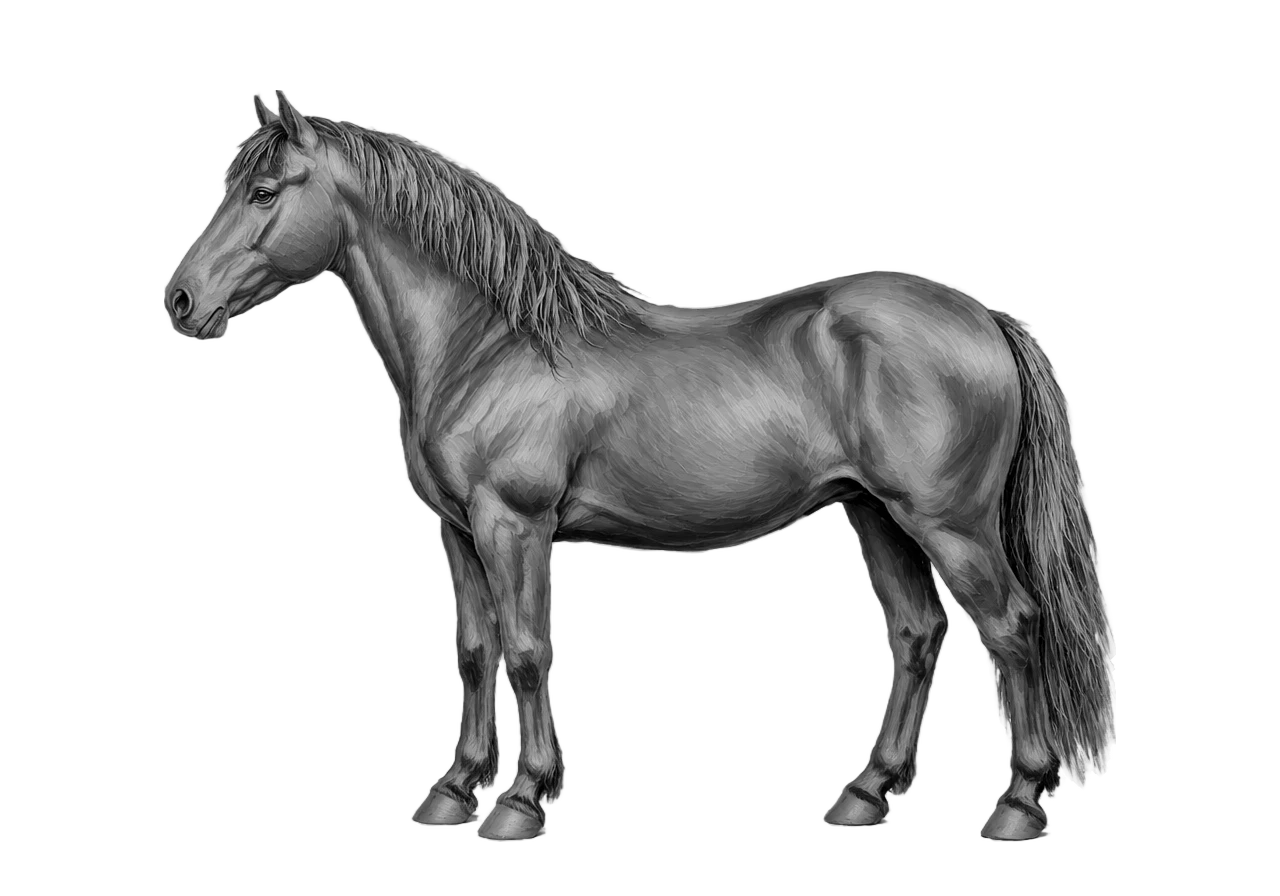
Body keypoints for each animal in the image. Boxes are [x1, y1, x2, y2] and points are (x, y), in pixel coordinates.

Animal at [163, 91, 1112, 841]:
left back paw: (1018, 804)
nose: (180, 300)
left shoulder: (516, 526)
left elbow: (527, 652)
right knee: (917, 635)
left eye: (263, 190)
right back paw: (865, 793)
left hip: (950, 525)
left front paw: (523, 799)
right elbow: (472, 650)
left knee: (1013, 627)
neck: (490, 345)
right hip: (875, 514)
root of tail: (983, 318)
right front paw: (452, 789)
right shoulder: (458, 532)